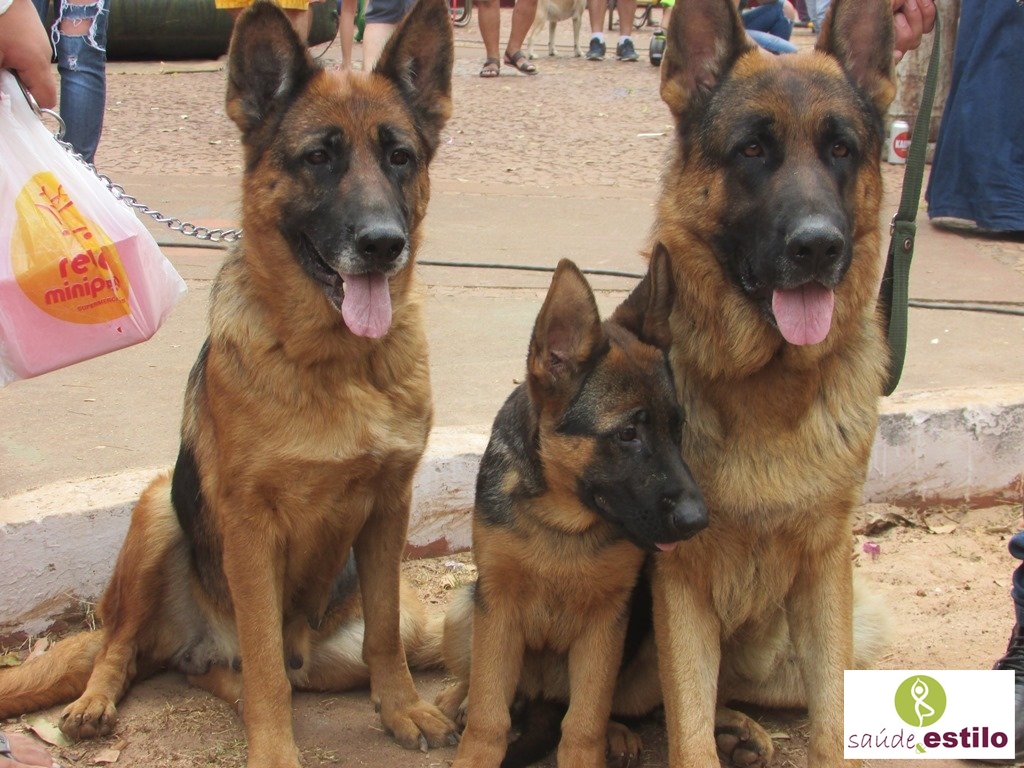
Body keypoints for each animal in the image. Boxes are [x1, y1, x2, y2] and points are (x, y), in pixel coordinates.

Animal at [0, 1, 457, 766]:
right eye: (318, 157)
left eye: (401, 157)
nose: (382, 244)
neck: (336, 365)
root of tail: (182, 639)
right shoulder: (249, 526)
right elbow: (265, 661)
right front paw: (273, 750)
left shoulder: (390, 509)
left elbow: (387, 633)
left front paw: (401, 710)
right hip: (158, 508)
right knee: (126, 643)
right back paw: (96, 701)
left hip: (346, 638)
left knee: (233, 667)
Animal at [436, 254, 709, 768]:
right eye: (628, 434)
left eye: (676, 428)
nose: (697, 521)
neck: (561, 520)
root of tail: (542, 693)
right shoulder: (498, 609)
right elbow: (488, 715)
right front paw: (473, 742)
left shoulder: (605, 624)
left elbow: (583, 724)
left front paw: (593, 744)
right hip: (465, 609)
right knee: (475, 681)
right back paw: (452, 699)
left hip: (647, 655)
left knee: (603, 710)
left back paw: (618, 732)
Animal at [644, 0, 899, 765]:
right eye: (752, 151)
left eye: (842, 149)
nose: (818, 247)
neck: (767, 388)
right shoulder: (680, 582)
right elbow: (687, 729)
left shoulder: (825, 569)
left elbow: (832, 721)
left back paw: (738, 724)